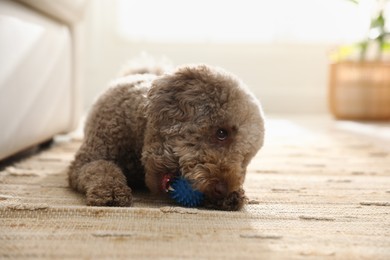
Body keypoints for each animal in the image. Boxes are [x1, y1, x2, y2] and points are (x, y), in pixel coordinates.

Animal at [69, 63, 266, 211]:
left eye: (245, 159)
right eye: (221, 133)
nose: (222, 190)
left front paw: (233, 196)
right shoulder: (85, 161)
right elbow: (102, 168)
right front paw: (111, 191)